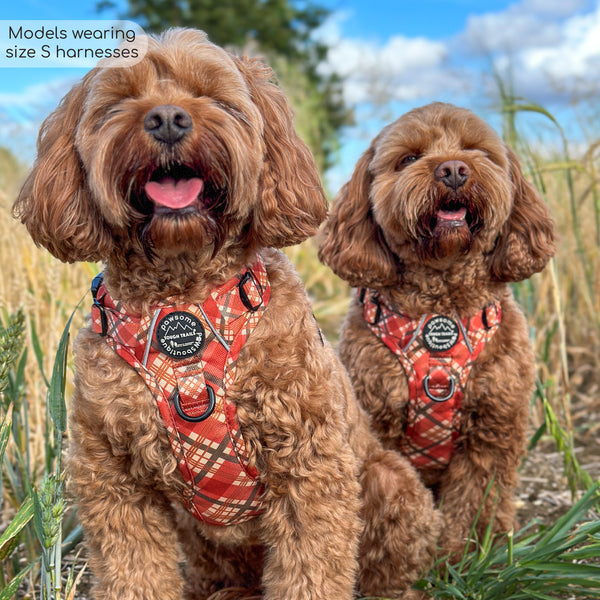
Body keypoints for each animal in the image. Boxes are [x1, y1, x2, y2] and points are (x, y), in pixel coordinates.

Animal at [322, 102, 556, 564]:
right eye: (409, 158)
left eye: (477, 151)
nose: (452, 169)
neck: (438, 315)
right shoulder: (378, 418)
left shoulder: (492, 430)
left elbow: (474, 501)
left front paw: (462, 558)